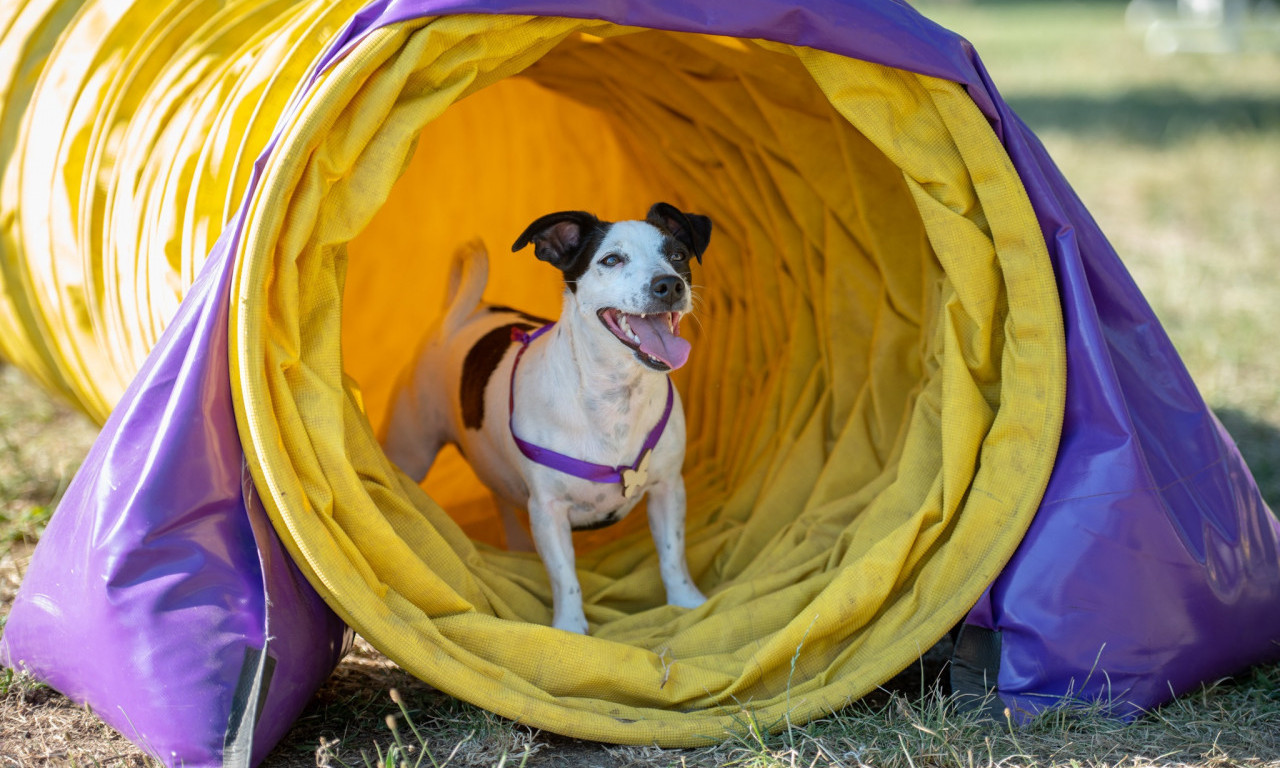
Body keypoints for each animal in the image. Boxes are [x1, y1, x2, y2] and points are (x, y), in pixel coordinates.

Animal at [384, 200, 716, 632]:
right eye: (611, 260)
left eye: (677, 255)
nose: (670, 285)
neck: (615, 397)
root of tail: (462, 316)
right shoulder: (549, 511)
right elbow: (564, 575)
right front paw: (571, 629)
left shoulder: (667, 488)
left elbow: (673, 554)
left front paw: (686, 603)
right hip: (411, 454)